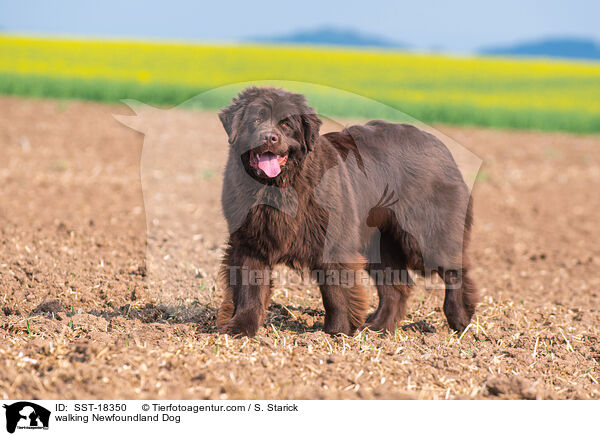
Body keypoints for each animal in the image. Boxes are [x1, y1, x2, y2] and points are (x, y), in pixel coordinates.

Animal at [216, 86, 478, 338]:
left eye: (286, 124)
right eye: (256, 120)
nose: (269, 138)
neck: (277, 187)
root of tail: (438, 144)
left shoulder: (333, 241)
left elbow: (335, 291)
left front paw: (337, 332)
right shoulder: (249, 242)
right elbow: (249, 287)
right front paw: (240, 328)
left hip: (425, 237)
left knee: (455, 272)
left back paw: (461, 321)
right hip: (379, 243)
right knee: (395, 287)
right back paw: (377, 327)